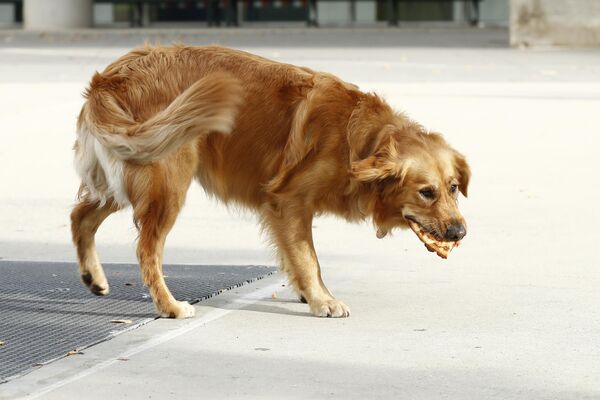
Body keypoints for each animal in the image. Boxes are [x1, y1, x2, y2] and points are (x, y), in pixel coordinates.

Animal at [71, 44, 468, 318]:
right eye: (426, 192)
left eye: (452, 188)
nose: (460, 232)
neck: (357, 141)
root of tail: (109, 79)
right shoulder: (289, 201)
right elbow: (308, 257)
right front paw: (322, 300)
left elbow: (295, 256)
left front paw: (307, 293)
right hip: (167, 182)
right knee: (146, 250)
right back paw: (170, 306)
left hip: (124, 173)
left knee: (80, 216)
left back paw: (93, 277)